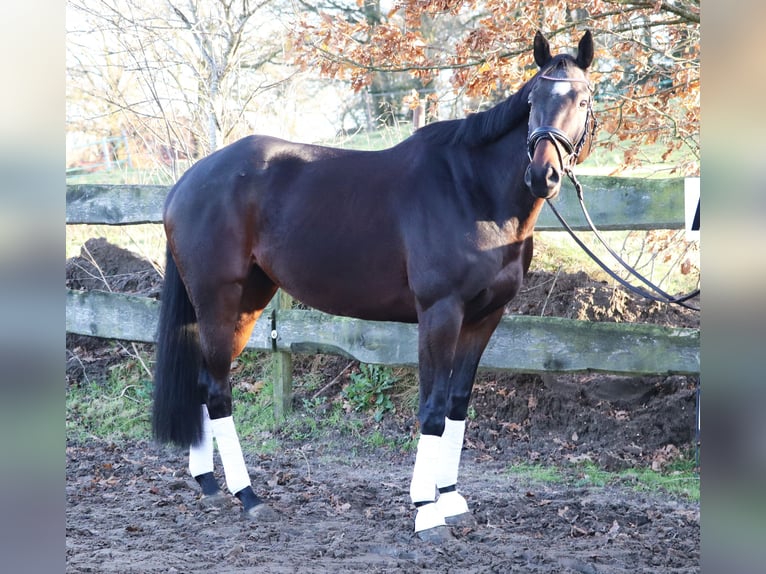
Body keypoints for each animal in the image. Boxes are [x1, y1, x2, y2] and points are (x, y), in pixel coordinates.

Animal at [153, 31, 600, 544]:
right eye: (533, 101)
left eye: (582, 99)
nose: (543, 174)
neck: (473, 191)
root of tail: (187, 181)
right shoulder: (440, 313)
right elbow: (432, 408)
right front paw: (427, 512)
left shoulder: (485, 318)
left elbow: (457, 406)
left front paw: (451, 500)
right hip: (217, 300)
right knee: (217, 392)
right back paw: (248, 496)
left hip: (246, 304)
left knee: (205, 383)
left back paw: (209, 484)